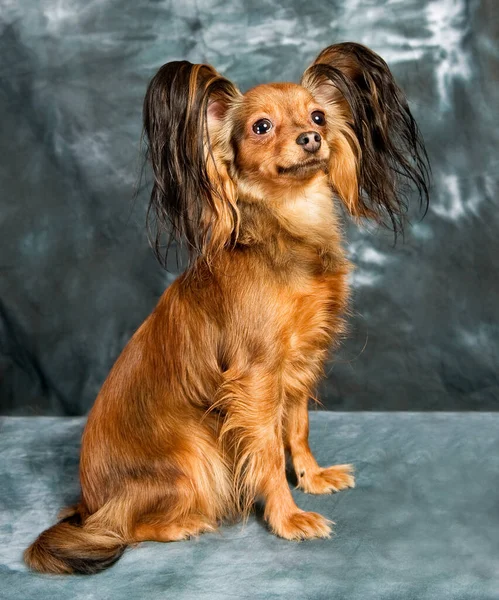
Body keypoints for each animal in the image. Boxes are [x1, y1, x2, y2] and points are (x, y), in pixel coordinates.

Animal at [23, 42, 430, 576]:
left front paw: (312, 476)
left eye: (319, 116)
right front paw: (288, 517)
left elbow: (296, 429)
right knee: (119, 527)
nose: (311, 138)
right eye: (261, 127)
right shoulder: (255, 380)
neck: (288, 227)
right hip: (196, 446)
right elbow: (267, 454)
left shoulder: (295, 368)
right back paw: (181, 524)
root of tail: (87, 502)